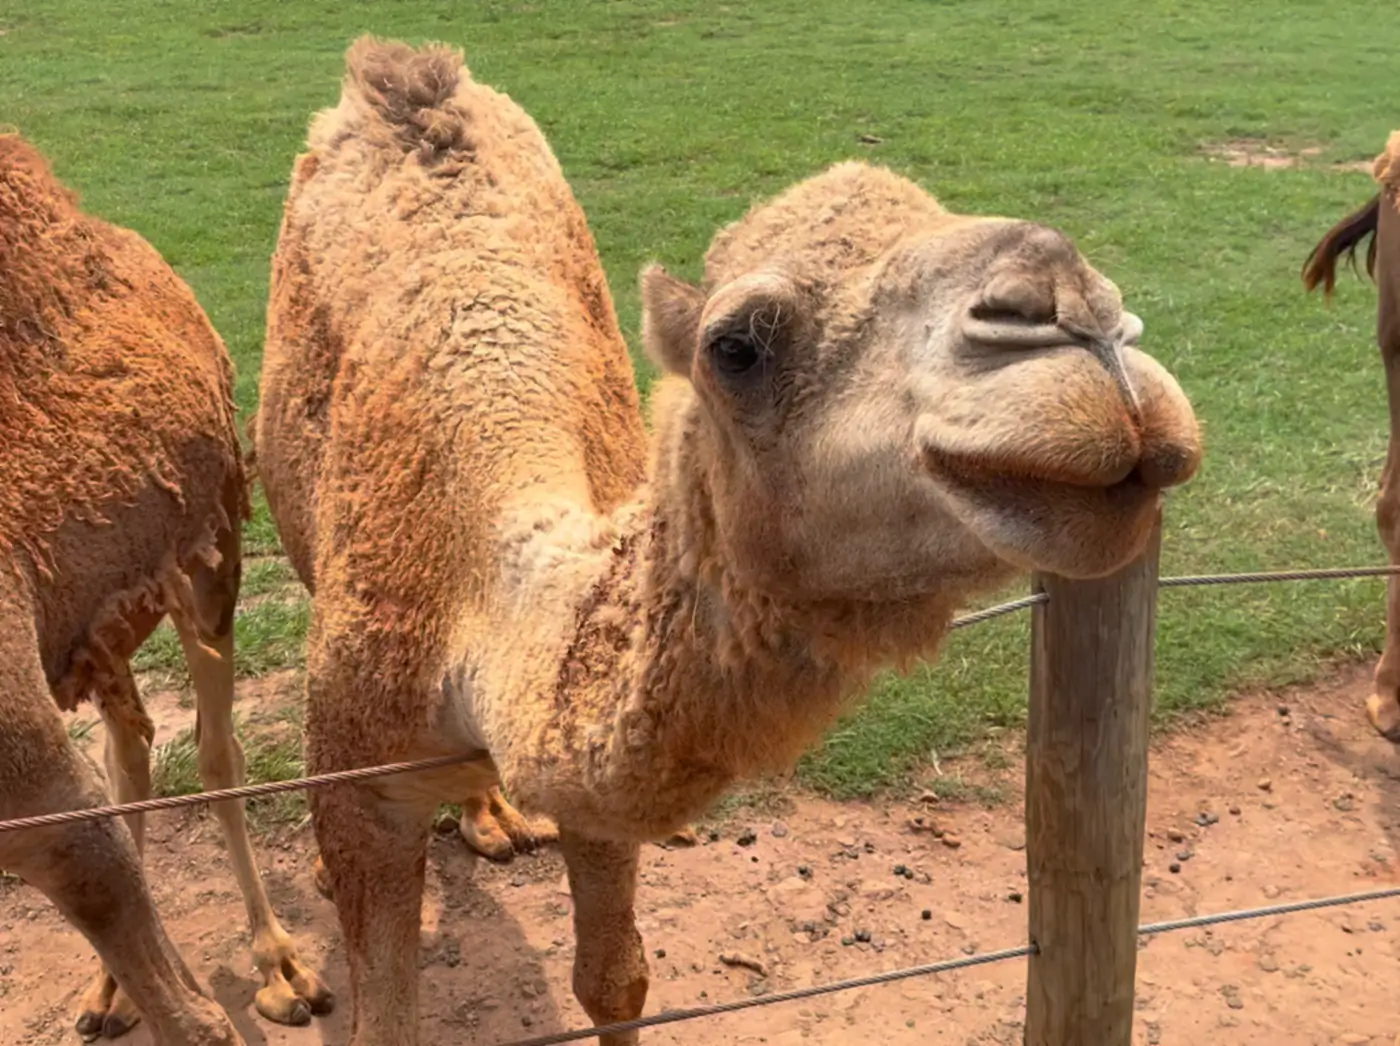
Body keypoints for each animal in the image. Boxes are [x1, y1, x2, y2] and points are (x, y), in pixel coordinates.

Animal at [0, 133, 330, 1045]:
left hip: (212, 548)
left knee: (216, 751)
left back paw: (280, 967)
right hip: (98, 625)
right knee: (134, 745)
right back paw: (105, 993)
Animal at [253, 36, 1201, 1045]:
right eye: (736, 348)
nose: (1084, 324)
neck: (481, 606)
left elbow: (615, 979)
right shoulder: (360, 778)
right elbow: (388, 1017)